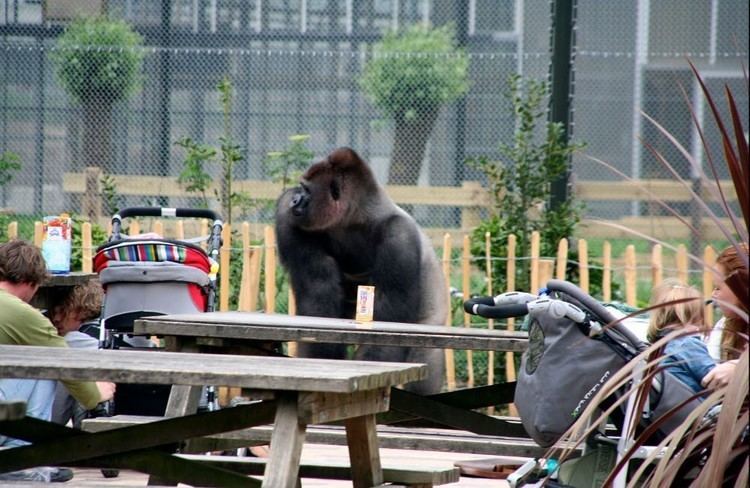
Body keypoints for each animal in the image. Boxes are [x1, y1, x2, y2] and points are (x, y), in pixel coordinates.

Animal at [280, 147, 450, 394]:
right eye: (300, 188)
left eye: (307, 190)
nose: (294, 199)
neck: (357, 217)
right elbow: (318, 298)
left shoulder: (399, 238)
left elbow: (386, 329)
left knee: (425, 359)